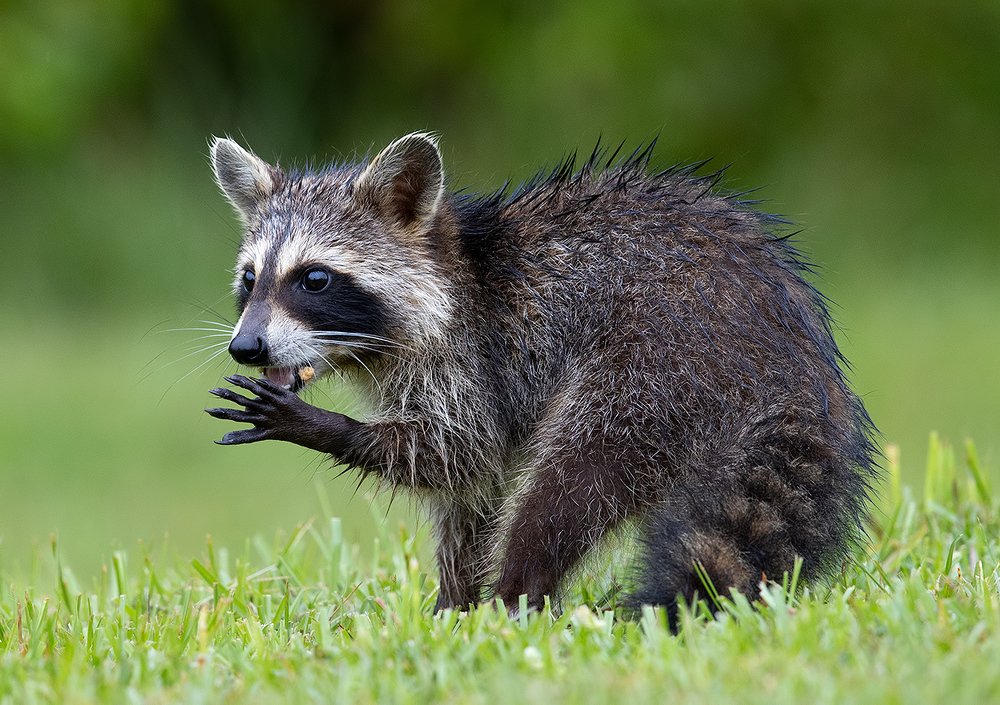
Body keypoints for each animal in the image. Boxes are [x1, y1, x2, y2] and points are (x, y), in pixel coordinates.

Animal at [205, 132, 877, 623]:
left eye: (313, 279)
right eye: (250, 278)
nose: (246, 346)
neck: (459, 270)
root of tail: (797, 357)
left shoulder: (474, 355)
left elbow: (457, 449)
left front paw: (321, 425)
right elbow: (470, 493)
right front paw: (453, 604)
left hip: (659, 363)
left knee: (572, 481)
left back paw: (518, 596)